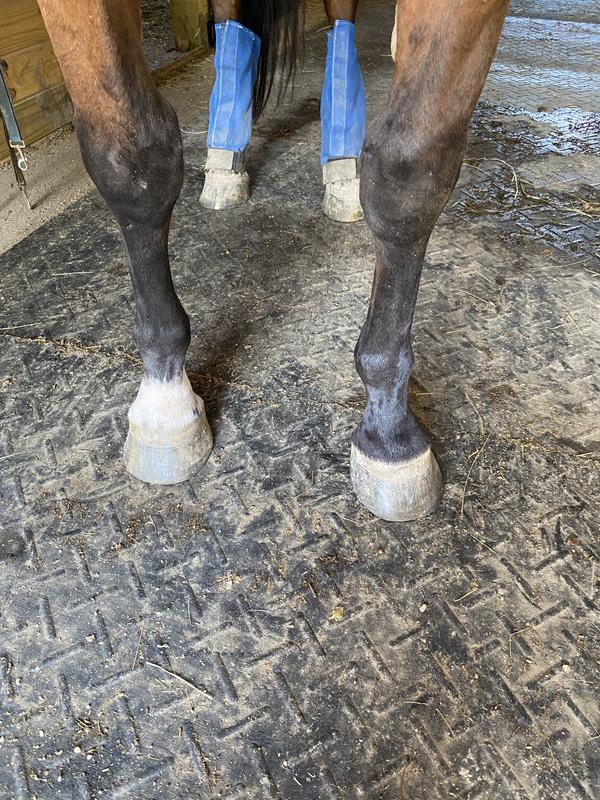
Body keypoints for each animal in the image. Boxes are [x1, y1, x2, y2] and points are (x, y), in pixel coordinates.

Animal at [35, 0, 510, 522]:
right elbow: (131, 155)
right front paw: (165, 400)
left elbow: (409, 171)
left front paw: (389, 434)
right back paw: (226, 162)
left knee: (342, 32)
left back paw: (340, 168)